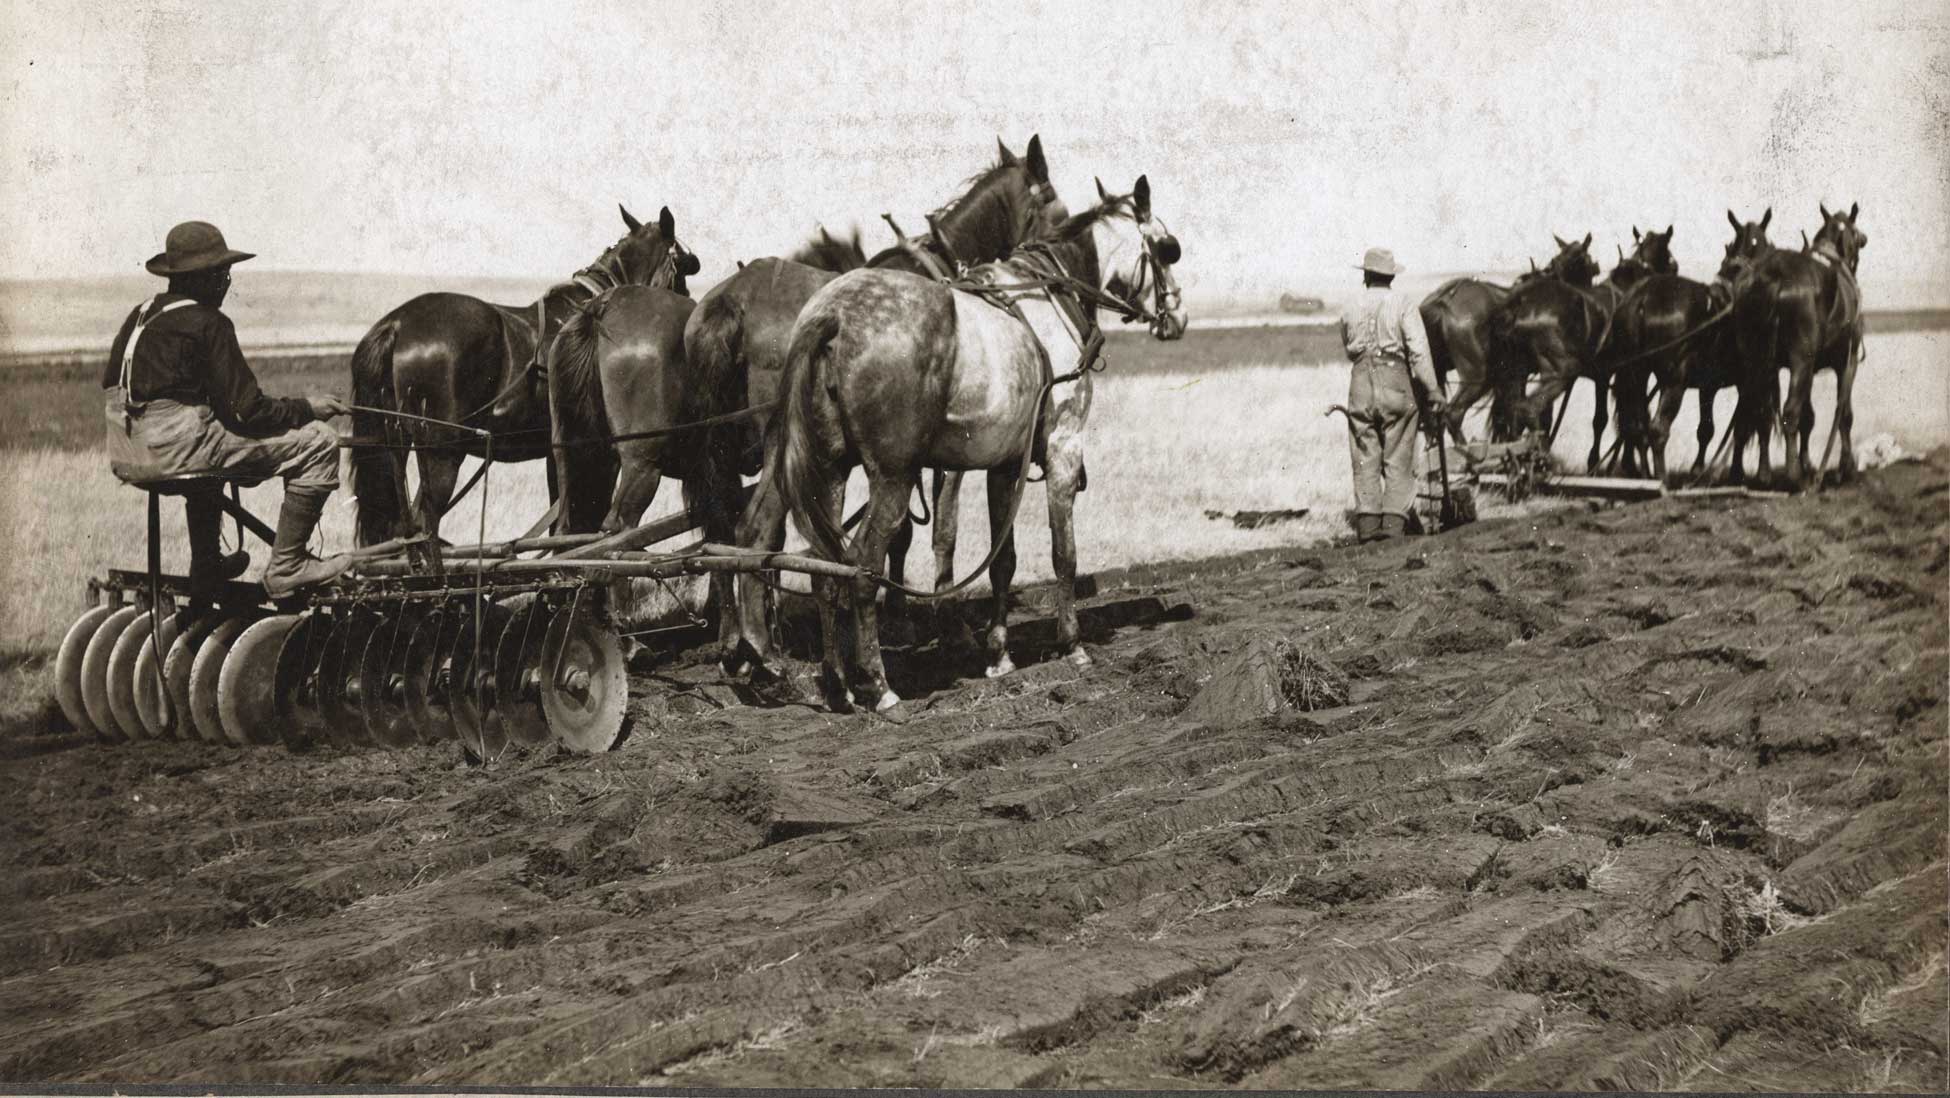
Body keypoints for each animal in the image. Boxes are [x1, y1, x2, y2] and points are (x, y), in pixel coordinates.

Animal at [352, 203, 702, 542]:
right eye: (685, 267)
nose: (687, 310)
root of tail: (397, 324)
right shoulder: (600, 454)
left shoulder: (559, 452)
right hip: (441, 453)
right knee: (424, 525)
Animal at [780, 178, 1185, 713]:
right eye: (1166, 248)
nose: (1178, 314)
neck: (1047, 295)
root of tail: (834, 318)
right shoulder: (1062, 447)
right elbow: (1064, 553)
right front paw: (1072, 644)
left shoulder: (1005, 464)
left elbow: (1003, 561)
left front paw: (998, 655)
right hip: (893, 475)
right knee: (864, 567)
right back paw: (880, 687)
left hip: (829, 470)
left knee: (825, 570)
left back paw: (839, 683)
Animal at [1731, 203, 1864, 487]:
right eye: (1856, 233)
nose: (1865, 239)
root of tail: (1774, 277)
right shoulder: (1847, 362)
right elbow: (1844, 413)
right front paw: (1845, 467)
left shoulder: (1810, 368)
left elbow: (1808, 416)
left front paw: (1807, 464)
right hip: (1799, 361)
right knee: (1789, 411)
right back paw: (1793, 477)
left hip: (1757, 362)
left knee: (1757, 412)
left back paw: (1759, 474)